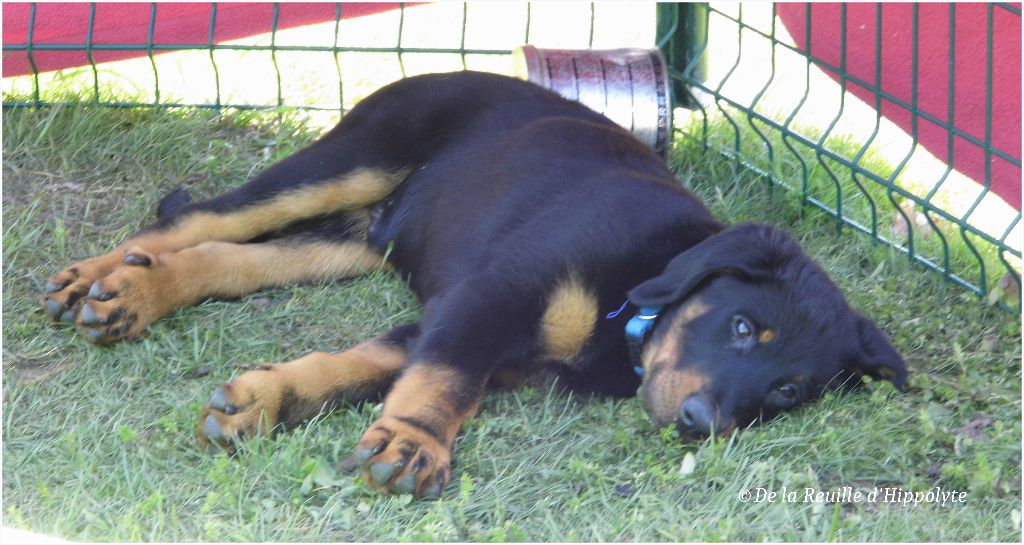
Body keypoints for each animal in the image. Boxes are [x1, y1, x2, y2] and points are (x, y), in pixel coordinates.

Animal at [41, 71, 905, 497]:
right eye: (742, 326)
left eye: (791, 390)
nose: (700, 423)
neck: (636, 299)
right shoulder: (493, 295)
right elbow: (446, 380)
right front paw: (413, 447)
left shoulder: (460, 319)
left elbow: (358, 368)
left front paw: (259, 400)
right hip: (353, 156)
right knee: (194, 221)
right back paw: (100, 280)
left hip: (357, 239)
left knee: (231, 257)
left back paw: (136, 293)